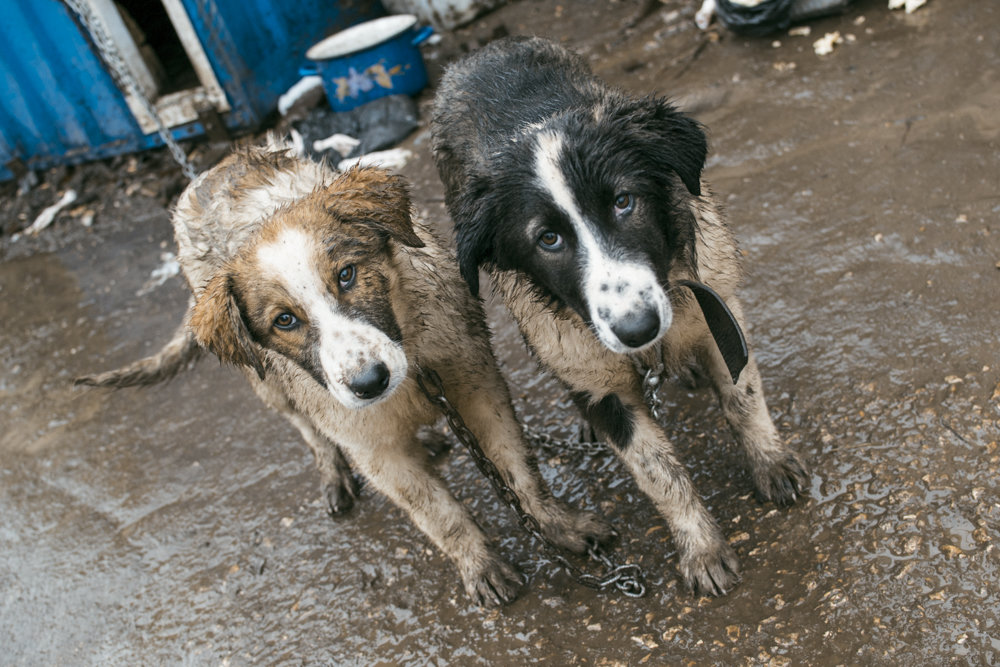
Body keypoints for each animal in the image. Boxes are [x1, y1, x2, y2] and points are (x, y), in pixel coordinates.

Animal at [78, 138, 608, 608]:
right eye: (284, 321)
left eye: (347, 275)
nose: (369, 383)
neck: (411, 364)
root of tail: (210, 169)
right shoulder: (370, 444)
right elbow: (437, 514)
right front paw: (479, 565)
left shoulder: (476, 386)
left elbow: (518, 470)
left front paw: (556, 525)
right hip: (267, 383)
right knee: (306, 427)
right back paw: (333, 471)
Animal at [434, 39, 808, 596]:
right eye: (548, 239)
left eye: (624, 202)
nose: (638, 330)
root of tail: (477, 52)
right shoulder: (590, 368)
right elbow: (657, 471)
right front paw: (701, 548)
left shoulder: (716, 304)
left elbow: (743, 397)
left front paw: (770, 462)